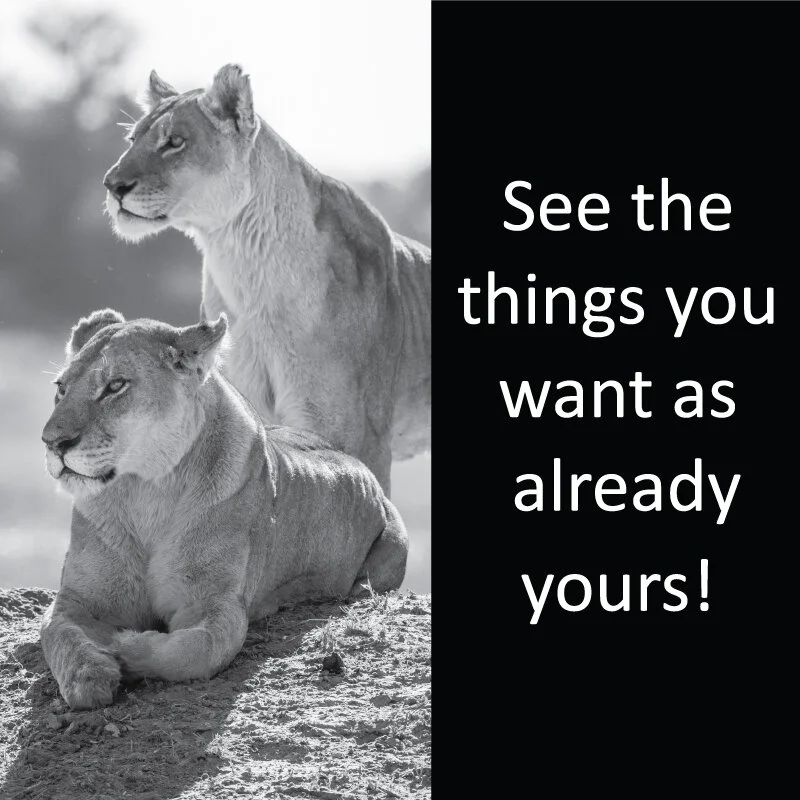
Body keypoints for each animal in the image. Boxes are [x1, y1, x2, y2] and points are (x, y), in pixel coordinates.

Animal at [39, 309, 408, 709]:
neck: (145, 491)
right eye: (61, 388)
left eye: (115, 385)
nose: (52, 442)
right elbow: (60, 638)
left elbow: (193, 650)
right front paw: (89, 676)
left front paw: (125, 648)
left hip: (392, 547)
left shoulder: (217, 605)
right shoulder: (78, 599)